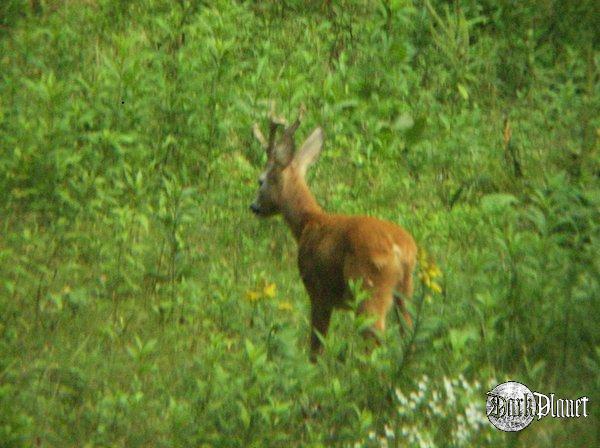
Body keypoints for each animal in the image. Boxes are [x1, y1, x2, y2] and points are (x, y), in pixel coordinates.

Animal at [250, 106, 418, 360]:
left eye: (261, 181)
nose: (254, 207)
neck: (308, 223)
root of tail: (401, 251)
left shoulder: (318, 292)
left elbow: (316, 348)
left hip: (369, 289)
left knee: (375, 338)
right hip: (406, 291)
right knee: (408, 333)